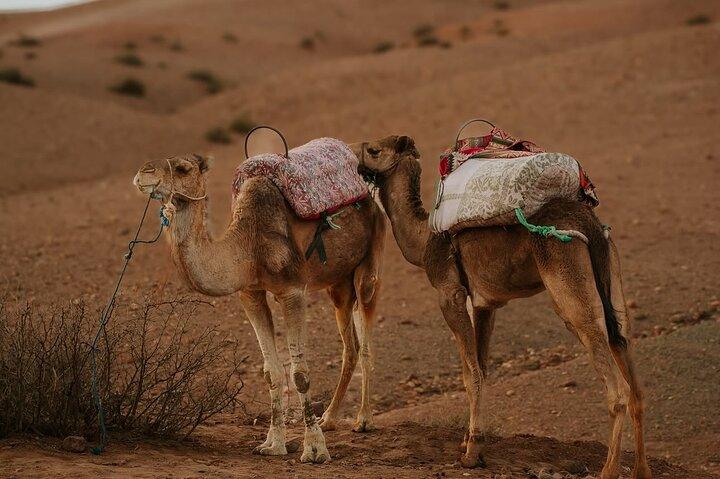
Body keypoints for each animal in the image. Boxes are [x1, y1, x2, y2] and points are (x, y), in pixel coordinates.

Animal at [133, 153, 386, 463]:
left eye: (182, 168)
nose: (144, 173)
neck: (249, 245)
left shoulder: (292, 291)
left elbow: (299, 373)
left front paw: (314, 449)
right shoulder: (250, 294)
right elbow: (271, 372)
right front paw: (272, 444)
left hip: (369, 260)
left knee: (366, 337)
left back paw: (364, 419)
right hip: (338, 282)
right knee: (350, 345)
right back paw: (329, 418)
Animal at [349, 136, 652, 479]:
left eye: (373, 150)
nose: (354, 161)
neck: (425, 239)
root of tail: (589, 223)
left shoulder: (449, 294)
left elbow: (471, 375)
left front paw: (471, 453)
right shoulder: (485, 304)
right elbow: (481, 368)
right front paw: (471, 443)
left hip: (567, 277)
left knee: (616, 387)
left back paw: (608, 470)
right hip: (612, 277)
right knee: (629, 364)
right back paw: (641, 470)